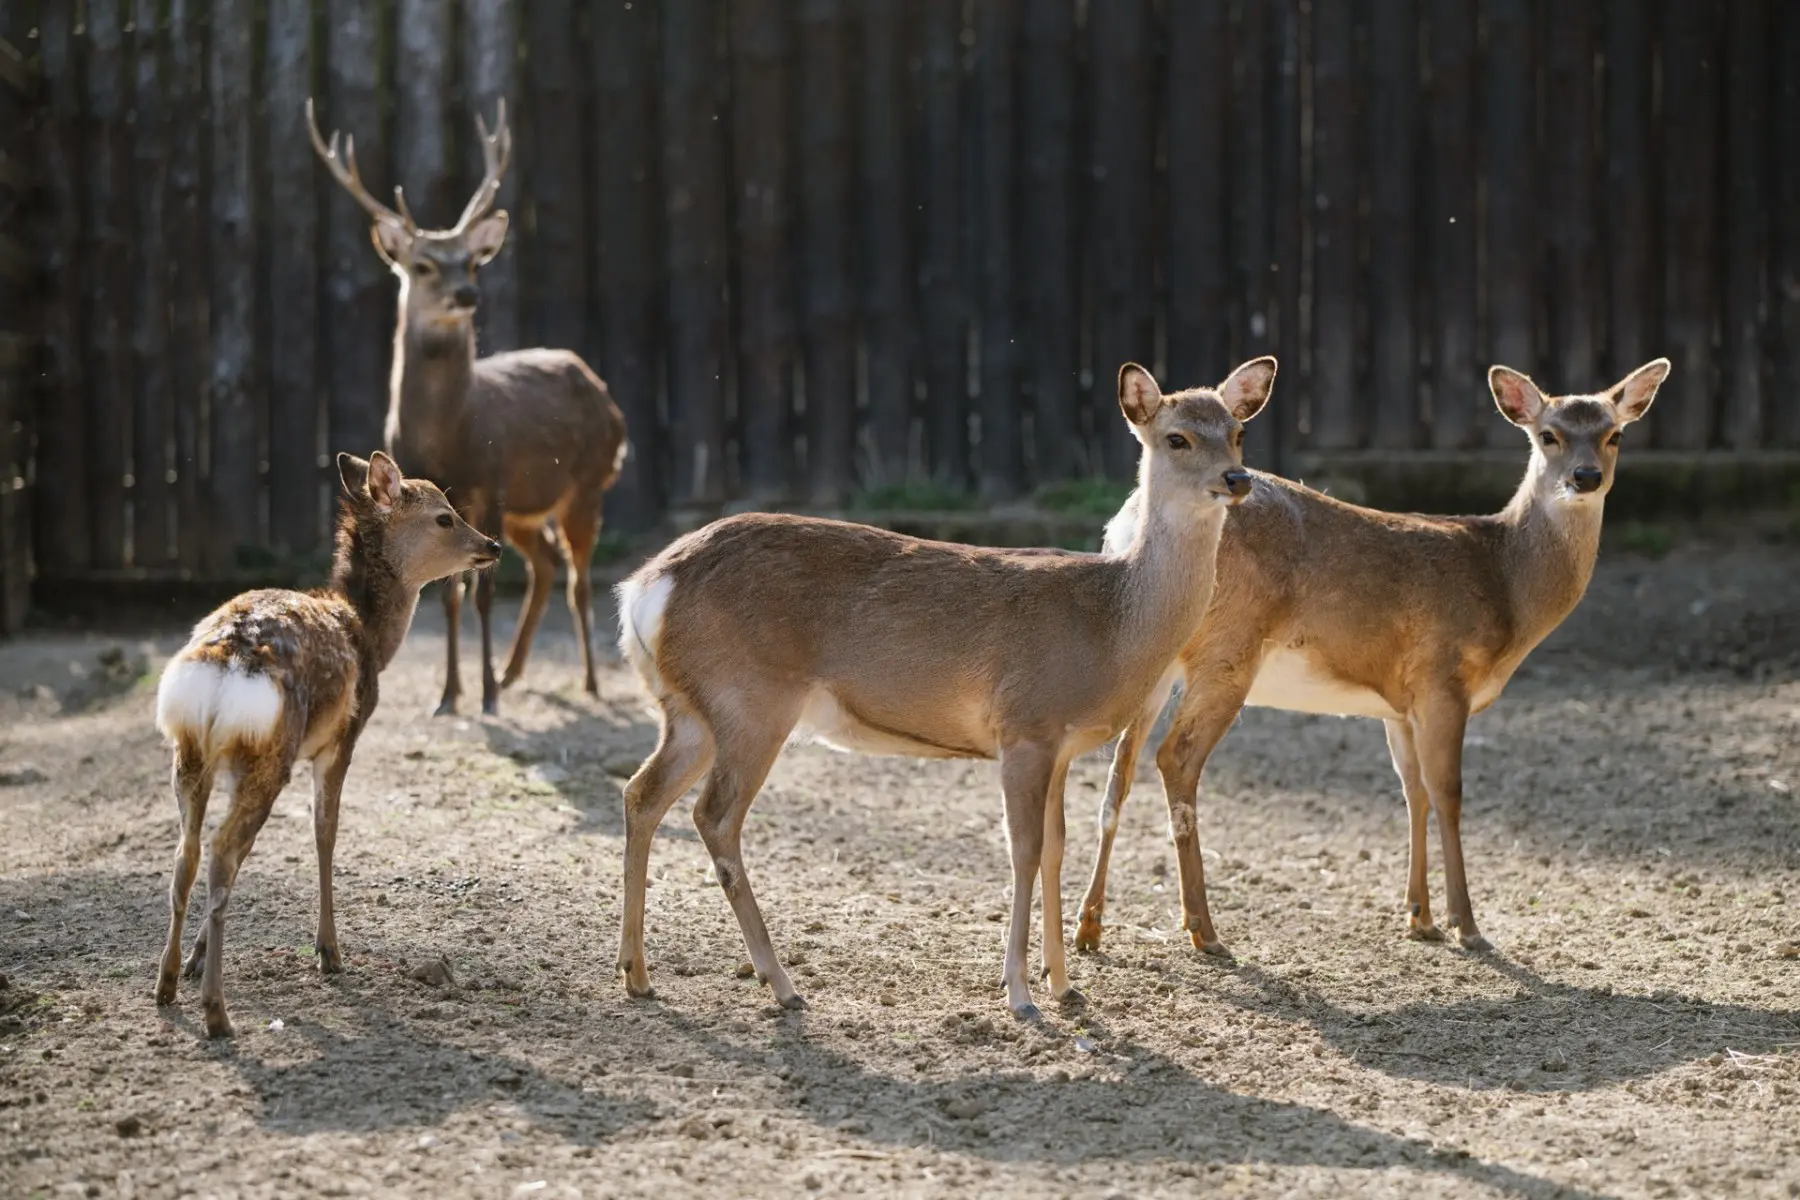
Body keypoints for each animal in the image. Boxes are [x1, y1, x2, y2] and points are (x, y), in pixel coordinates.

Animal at [154, 452, 501, 1037]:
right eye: (445, 517)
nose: (493, 545)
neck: (370, 635)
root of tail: (226, 661)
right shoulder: (343, 738)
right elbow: (325, 834)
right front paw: (329, 951)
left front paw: (200, 955)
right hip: (272, 751)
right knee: (222, 854)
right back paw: (217, 1012)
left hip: (192, 752)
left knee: (189, 854)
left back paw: (166, 983)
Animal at [307, 98, 628, 717]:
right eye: (424, 265)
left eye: (472, 263)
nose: (467, 294)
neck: (449, 439)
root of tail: (602, 391)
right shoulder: (457, 495)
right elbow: (450, 595)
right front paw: (451, 694)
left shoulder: (493, 485)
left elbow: (482, 594)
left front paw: (483, 697)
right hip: (532, 506)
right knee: (545, 564)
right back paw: (511, 671)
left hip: (587, 484)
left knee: (577, 578)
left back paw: (587, 682)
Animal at [613, 358, 1277, 1019]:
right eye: (1177, 438)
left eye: (1238, 432)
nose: (1237, 478)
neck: (1112, 627)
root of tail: (644, 589)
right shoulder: (1025, 726)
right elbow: (1024, 851)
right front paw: (1020, 995)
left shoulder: (1061, 746)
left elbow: (1056, 849)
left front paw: (1066, 986)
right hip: (752, 699)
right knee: (714, 815)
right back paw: (780, 983)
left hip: (692, 709)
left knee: (641, 792)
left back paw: (637, 974)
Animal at [1072, 358, 1672, 960]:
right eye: (1548, 435)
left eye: (1614, 435)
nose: (1585, 477)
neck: (1504, 583)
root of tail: (1124, 527)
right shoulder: (1442, 678)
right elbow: (1449, 794)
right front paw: (1467, 925)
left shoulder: (1399, 705)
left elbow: (1414, 794)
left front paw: (1419, 917)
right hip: (1228, 650)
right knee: (1175, 757)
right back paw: (1203, 929)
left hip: (1156, 662)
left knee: (1119, 770)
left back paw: (1090, 926)